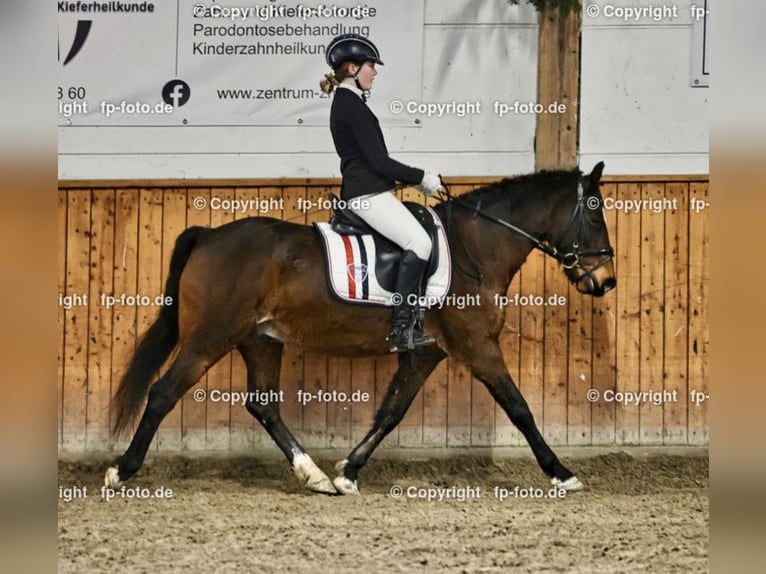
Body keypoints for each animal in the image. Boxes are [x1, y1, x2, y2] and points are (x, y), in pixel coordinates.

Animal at [105, 161, 616, 496]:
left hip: (260, 339)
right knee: (163, 393)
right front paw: (561, 472)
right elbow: (520, 408)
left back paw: (312, 475)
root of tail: (209, 235)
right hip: (211, 337)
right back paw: (122, 470)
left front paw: (349, 470)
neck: (475, 246)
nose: (606, 282)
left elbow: (392, 412)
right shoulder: (477, 346)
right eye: (594, 212)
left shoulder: (427, 351)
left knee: (264, 405)